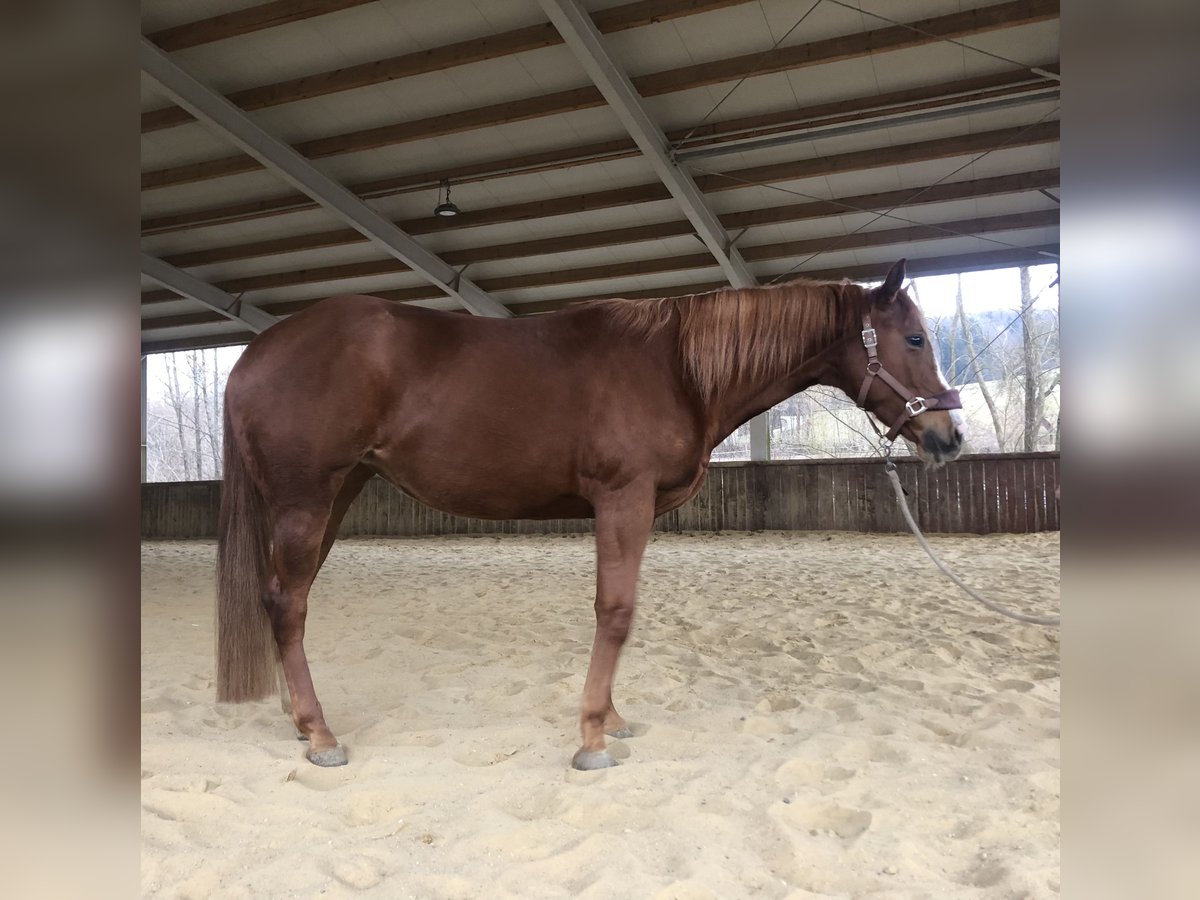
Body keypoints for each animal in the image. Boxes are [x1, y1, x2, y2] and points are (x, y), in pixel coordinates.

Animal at [218, 259, 964, 768]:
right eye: (915, 339)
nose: (949, 437)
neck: (676, 368)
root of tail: (256, 352)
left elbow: (619, 613)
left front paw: (613, 717)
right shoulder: (622, 498)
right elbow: (616, 613)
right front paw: (592, 738)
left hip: (336, 495)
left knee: (288, 600)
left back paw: (298, 717)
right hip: (307, 499)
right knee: (287, 602)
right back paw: (320, 733)